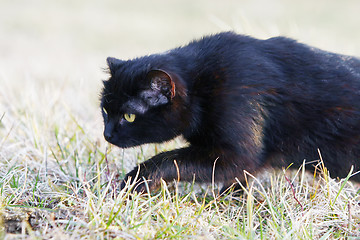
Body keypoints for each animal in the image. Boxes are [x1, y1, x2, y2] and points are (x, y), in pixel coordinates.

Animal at [100, 32, 360, 193]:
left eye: (129, 116)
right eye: (104, 110)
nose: (107, 134)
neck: (201, 86)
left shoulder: (237, 153)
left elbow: (169, 159)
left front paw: (134, 182)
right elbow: (240, 178)